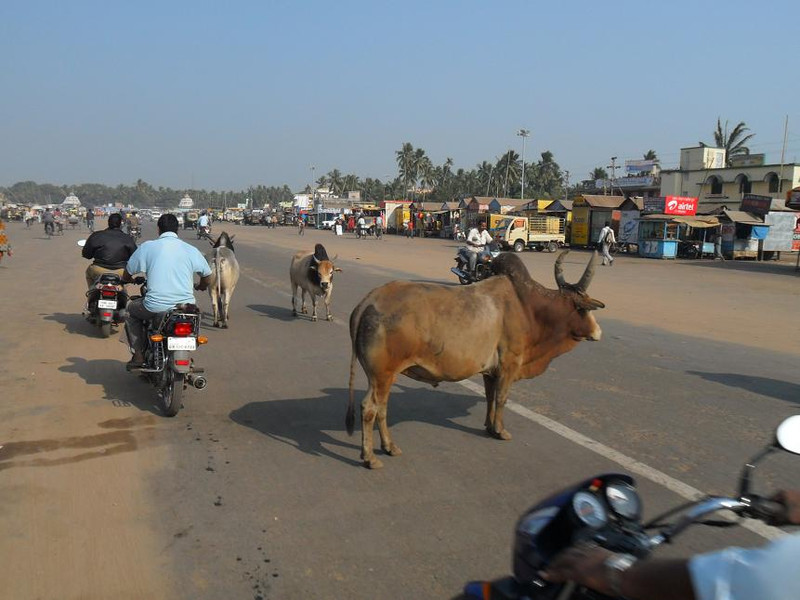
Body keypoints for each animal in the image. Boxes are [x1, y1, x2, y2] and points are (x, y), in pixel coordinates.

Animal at [346, 250, 604, 468]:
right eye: (583, 309)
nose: (598, 332)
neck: (529, 308)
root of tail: (368, 301)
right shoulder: (510, 364)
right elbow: (501, 398)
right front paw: (500, 431)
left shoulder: (491, 371)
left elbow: (490, 397)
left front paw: (489, 427)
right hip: (381, 375)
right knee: (369, 408)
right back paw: (370, 458)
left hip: (384, 377)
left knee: (382, 408)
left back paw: (389, 447)